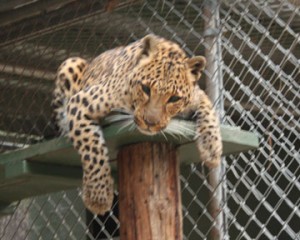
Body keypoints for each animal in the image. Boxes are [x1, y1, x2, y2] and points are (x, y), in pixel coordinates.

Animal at [51, 34, 223, 216]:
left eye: (174, 98)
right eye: (146, 88)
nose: (150, 123)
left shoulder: (198, 94)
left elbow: (209, 108)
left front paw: (212, 149)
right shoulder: (80, 102)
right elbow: (92, 148)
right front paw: (99, 197)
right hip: (71, 62)